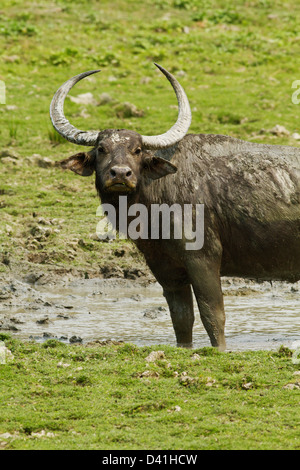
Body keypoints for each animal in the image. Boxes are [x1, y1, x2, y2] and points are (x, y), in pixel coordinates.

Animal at [50, 63, 298, 348]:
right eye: (101, 148)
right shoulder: (165, 268)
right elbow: (181, 318)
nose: (120, 174)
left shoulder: (203, 260)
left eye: (137, 150)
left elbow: (213, 315)